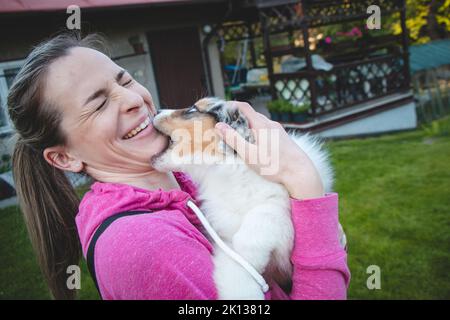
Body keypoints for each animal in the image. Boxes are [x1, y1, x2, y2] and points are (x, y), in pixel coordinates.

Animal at [151, 97, 344, 300]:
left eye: (192, 109)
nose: (156, 111)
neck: (230, 170)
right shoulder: (225, 239)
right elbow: (236, 274)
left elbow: (267, 210)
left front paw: (249, 252)